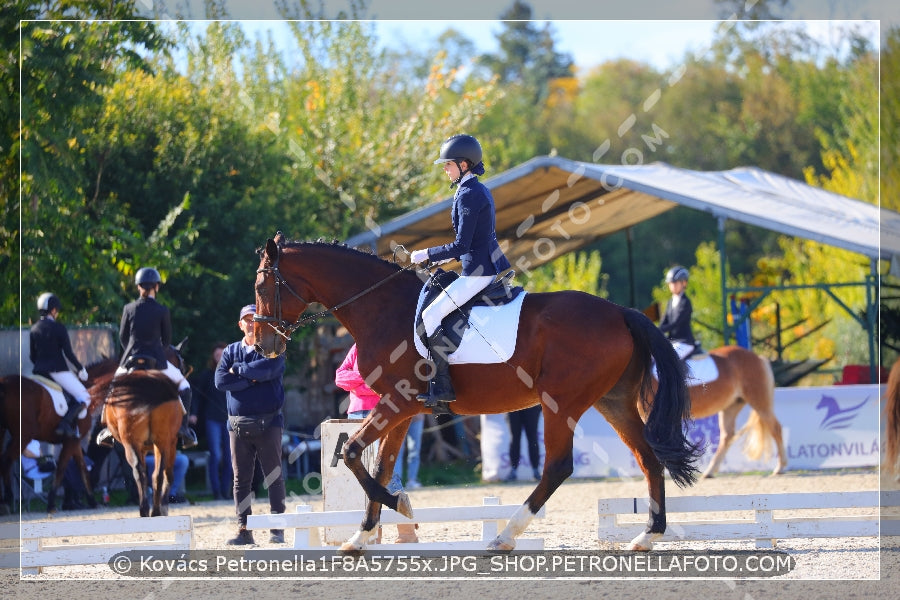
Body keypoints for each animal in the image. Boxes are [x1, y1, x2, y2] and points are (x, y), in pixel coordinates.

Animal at [253, 234, 704, 552]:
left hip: (561, 403)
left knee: (558, 467)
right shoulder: (403, 409)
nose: (263, 345)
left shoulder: (397, 402)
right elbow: (378, 467)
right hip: (612, 402)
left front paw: (401, 507)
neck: (381, 307)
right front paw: (361, 537)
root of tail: (621, 313)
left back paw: (504, 536)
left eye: (261, 287)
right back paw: (647, 536)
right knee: (648, 457)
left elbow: (350, 453)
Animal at [684, 346, 784, 478]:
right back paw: (710, 471)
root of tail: (757, 357)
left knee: (775, 428)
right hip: (731, 407)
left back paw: (780, 468)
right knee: (727, 436)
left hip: (759, 402)